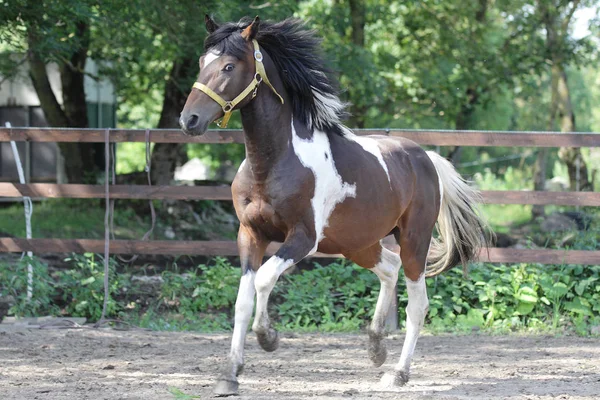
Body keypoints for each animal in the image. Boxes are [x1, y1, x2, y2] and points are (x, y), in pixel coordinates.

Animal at [178, 14, 488, 396]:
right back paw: (375, 347)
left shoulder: (303, 238)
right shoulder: (250, 234)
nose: (189, 120)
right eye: (201, 62)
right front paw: (229, 375)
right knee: (389, 268)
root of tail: (425, 157)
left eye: (228, 66)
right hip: (357, 243)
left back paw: (398, 373)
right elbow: (242, 300)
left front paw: (268, 337)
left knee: (417, 303)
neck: (274, 163)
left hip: (413, 239)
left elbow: (265, 279)